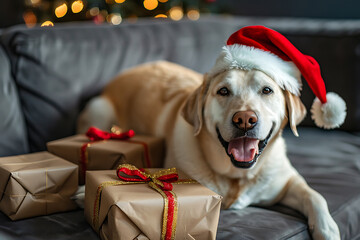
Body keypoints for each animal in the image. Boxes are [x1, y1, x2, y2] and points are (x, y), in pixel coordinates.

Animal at [79, 60, 340, 240]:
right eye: (223, 91)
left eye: (267, 90)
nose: (245, 119)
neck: (237, 176)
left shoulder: (287, 182)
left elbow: (314, 196)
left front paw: (328, 229)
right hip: (99, 110)